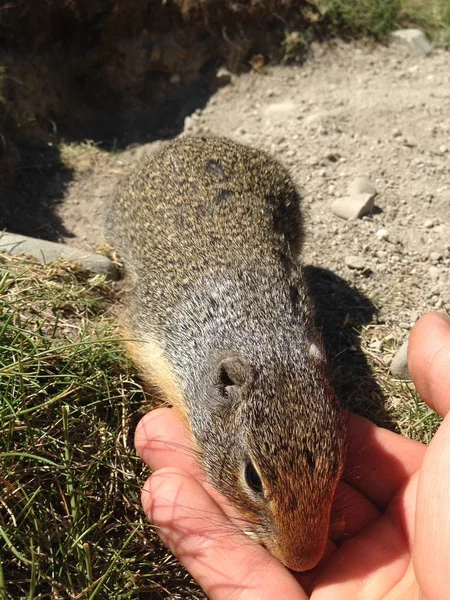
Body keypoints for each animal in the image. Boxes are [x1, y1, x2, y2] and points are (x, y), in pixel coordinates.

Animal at [104, 136, 344, 572]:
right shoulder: (145, 336)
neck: (261, 336)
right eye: (252, 477)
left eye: (336, 464)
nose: (303, 562)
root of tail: (193, 140)